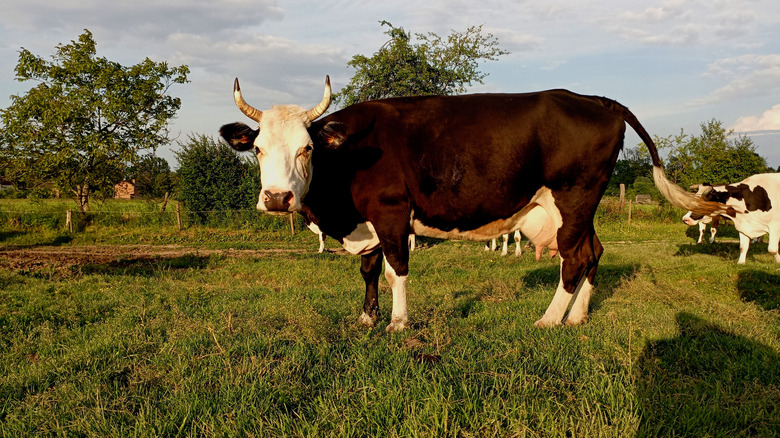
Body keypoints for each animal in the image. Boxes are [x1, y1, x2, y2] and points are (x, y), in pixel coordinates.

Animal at [218, 75, 724, 330]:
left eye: (307, 148)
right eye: (258, 149)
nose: (277, 198)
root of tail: (593, 98)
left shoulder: (390, 211)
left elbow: (396, 269)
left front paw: (398, 324)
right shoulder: (369, 222)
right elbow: (368, 269)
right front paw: (366, 318)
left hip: (574, 196)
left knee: (575, 259)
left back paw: (548, 320)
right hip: (581, 205)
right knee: (595, 252)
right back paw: (578, 317)